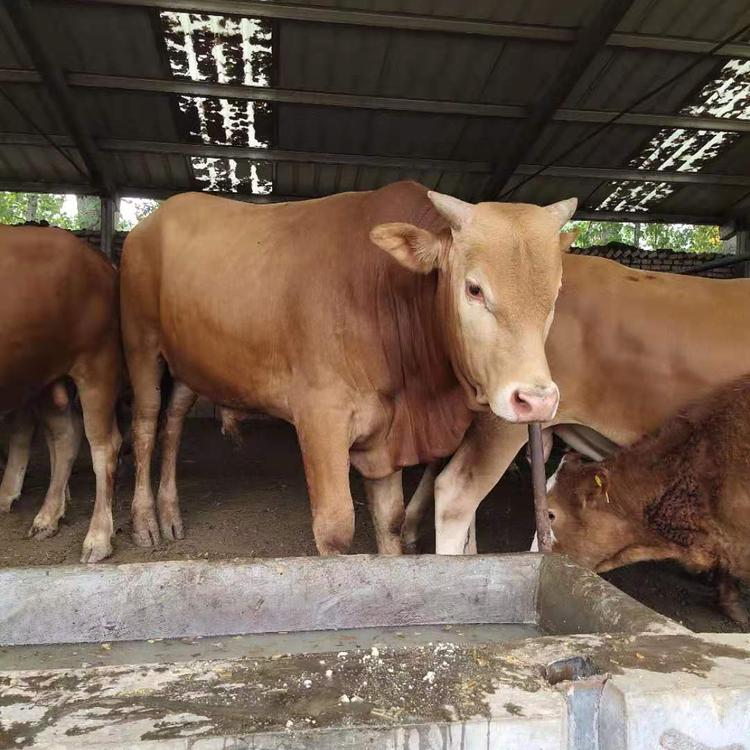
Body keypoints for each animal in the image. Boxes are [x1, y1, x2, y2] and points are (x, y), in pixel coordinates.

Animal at [0, 228, 122, 564]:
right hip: (44, 374)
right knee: (66, 434)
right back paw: (47, 517)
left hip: (96, 364)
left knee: (104, 445)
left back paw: (97, 537)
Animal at [120, 181, 580, 560]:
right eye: (474, 288)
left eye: (557, 293)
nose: (536, 400)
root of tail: (157, 217)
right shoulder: (320, 417)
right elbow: (336, 528)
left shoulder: (388, 436)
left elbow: (390, 521)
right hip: (141, 343)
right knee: (145, 425)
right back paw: (145, 521)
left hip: (188, 363)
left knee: (174, 423)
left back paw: (170, 512)